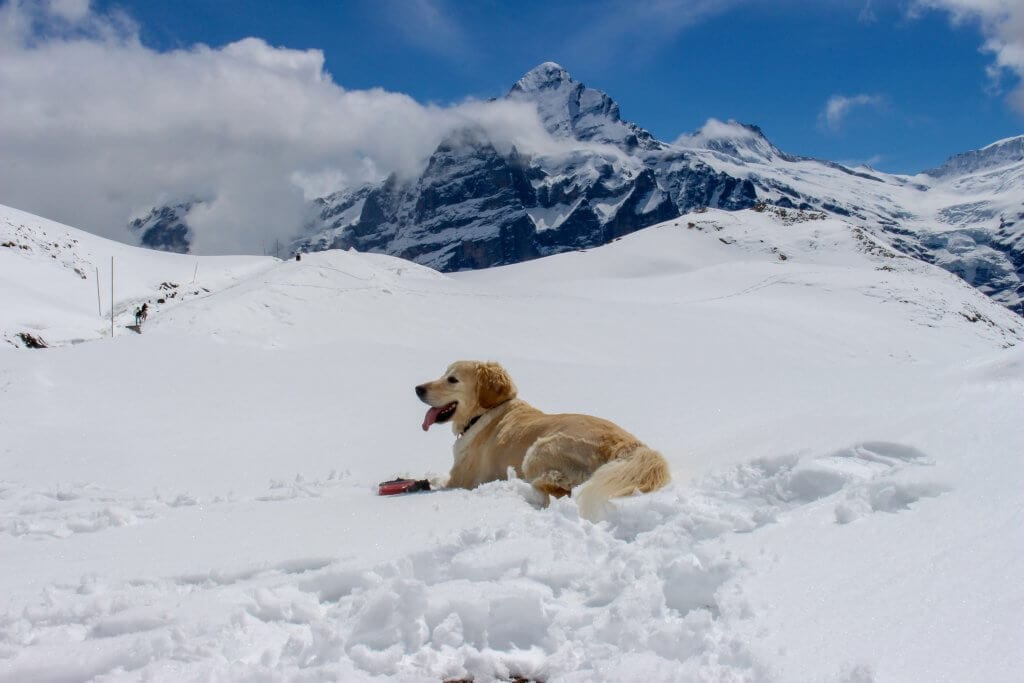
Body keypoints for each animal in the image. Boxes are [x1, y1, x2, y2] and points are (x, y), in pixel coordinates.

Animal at [415, 362, 671, 518]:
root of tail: (630, 447)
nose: (417, 388)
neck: (483, 413)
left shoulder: (459, 479)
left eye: (452, 380)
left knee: (560, 488)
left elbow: (433, 480)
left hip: (539, 449)